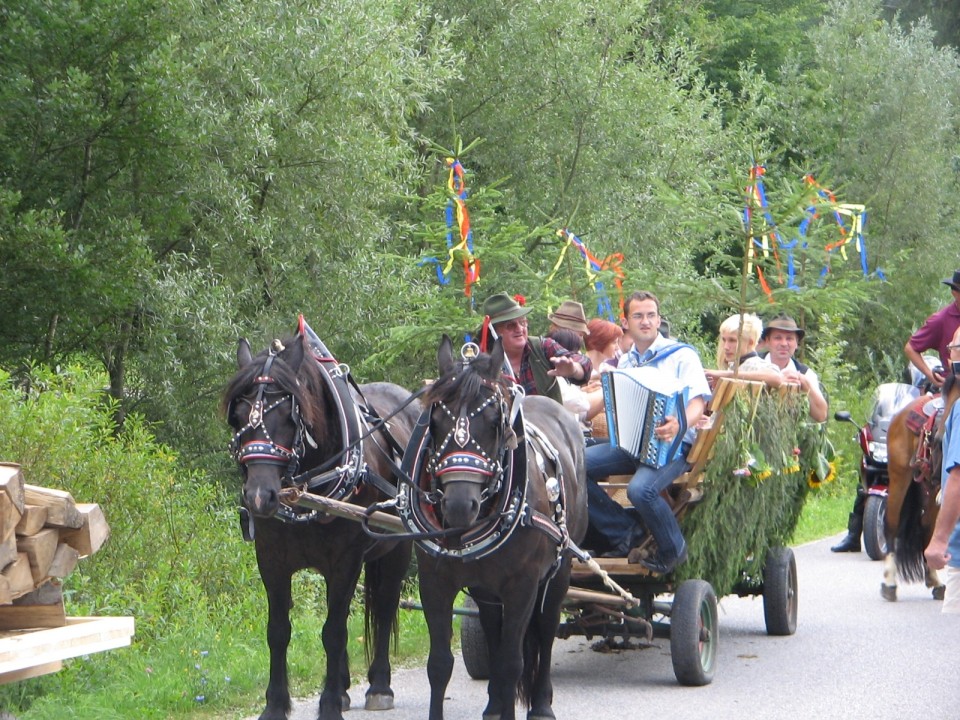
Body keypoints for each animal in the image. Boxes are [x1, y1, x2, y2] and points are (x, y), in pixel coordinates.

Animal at [227, 322, 422, 720]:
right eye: (237, 417)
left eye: (289, 416)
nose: (259, 497)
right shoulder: (271, 558)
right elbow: (278, 630)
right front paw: (276, 704)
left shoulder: (345, 560)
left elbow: (333, 631)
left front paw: (329, 703)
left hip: (397, 549)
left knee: (384, 606)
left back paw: (379, 686)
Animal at [402, 336, 588, 720]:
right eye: (435, 421)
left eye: (493, 423)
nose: (459, 506)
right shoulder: (434, 582)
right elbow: (440, 663)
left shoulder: (523, 585)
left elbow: (511, 661)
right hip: (485, 587)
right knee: (491, 627)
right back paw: (493, 704)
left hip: (561, 568)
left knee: (546, 628)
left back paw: (541, 704)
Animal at [880, 374, 956, 600]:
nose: (939, 439)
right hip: (900, 476)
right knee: (892, 524)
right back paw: (889, 583)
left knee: (927, 527)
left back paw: (935, 581)